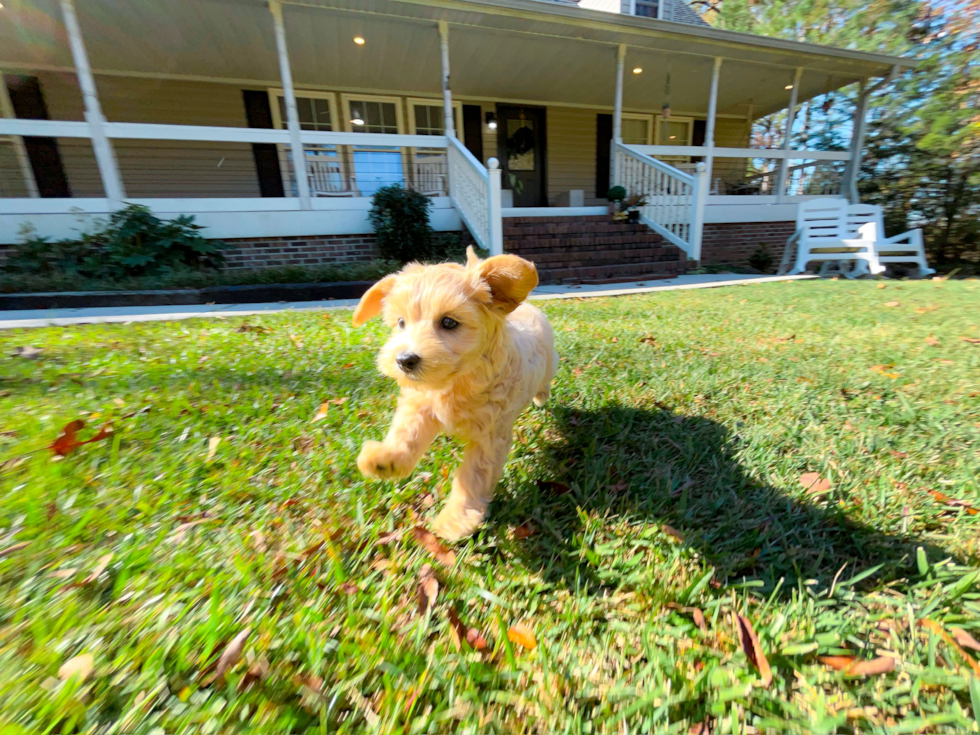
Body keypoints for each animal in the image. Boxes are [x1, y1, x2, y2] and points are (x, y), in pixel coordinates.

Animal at [354, 247, 560, 540]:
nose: (404, 360)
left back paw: (541, 396)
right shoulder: (420, 404)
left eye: (449, 322)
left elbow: (472, 476)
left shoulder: (489, 438)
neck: (455, 384)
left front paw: (456, 519)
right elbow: (407, 433)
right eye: (401, 322)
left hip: (549, 364)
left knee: (546, 380)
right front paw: (386, 459)